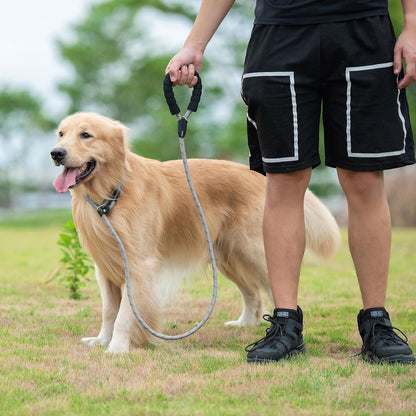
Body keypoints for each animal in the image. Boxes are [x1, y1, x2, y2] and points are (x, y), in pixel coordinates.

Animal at [51, 112, 342, 352]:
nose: (56, 153)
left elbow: (124, 313)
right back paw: (244, 323)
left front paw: (118, 346)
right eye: (61, 133)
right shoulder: (105, 268)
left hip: (254, 250)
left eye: (86, 134)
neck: (112, 193)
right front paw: (102, 340)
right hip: (226, 257)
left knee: (273, 287)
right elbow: (109, 311)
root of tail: (258, 174)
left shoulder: (138, 265)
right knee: (252, 292)